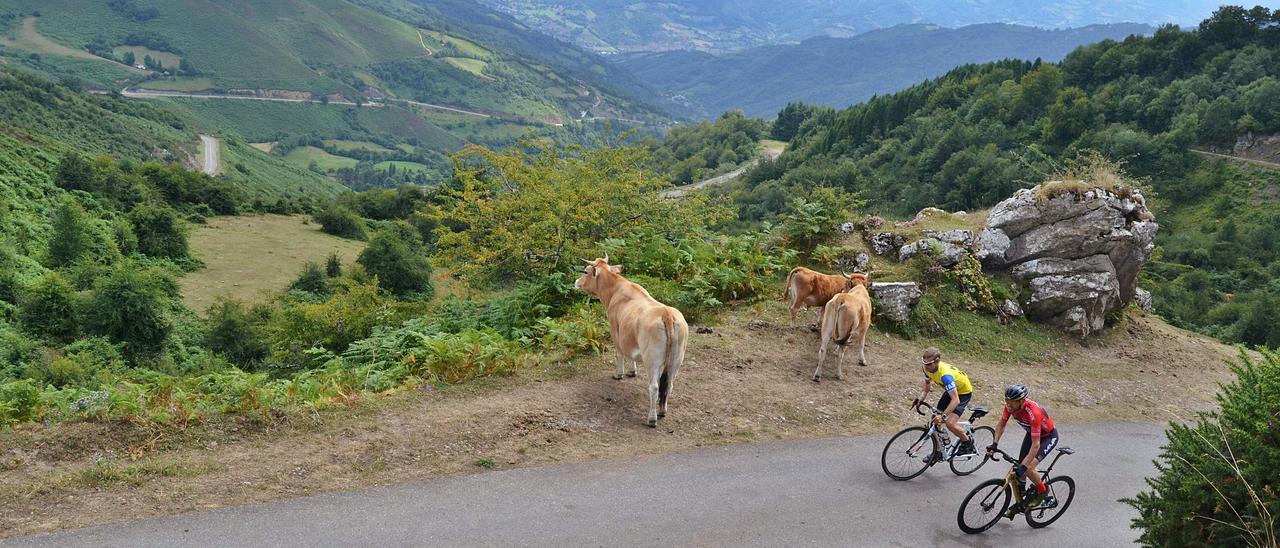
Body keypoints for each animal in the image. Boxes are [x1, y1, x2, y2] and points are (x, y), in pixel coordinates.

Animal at [573, 257, 686, 427]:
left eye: (585, 271)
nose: (576, 282)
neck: (615, 290)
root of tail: (666, 313)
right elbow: (630, 352)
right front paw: (632, 371)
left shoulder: (615, 329)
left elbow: (620, 353)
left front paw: (618, 374)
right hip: (676, 360)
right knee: (668, 385)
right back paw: (662, 411)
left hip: (652, 360)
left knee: (654, 387)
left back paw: (652, 418)